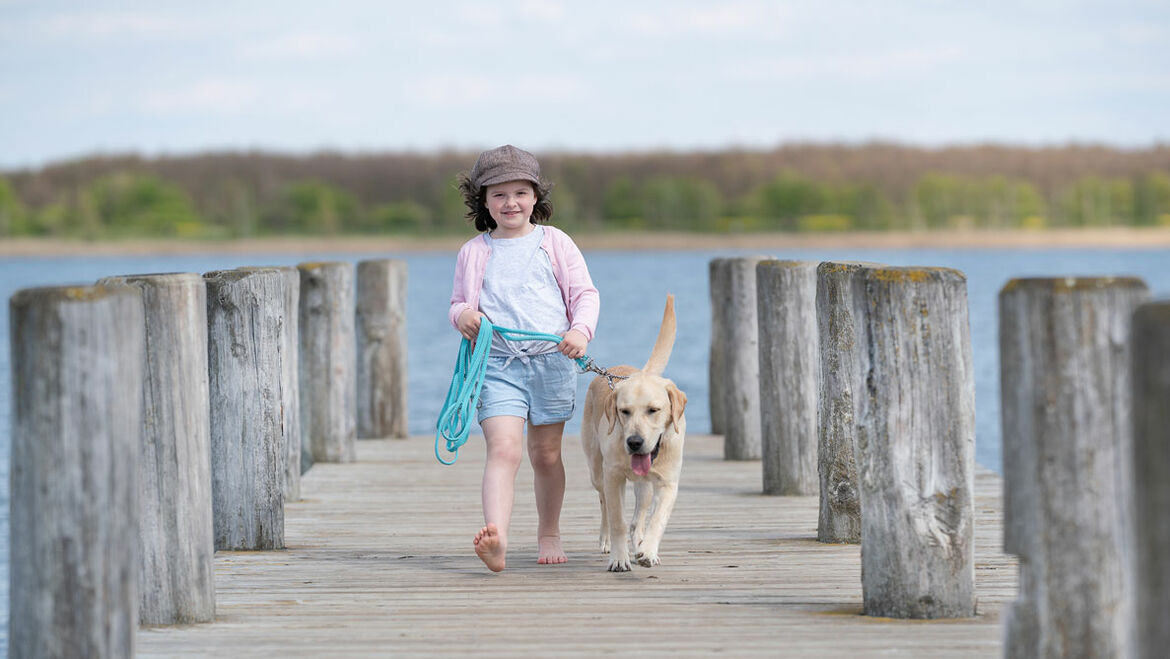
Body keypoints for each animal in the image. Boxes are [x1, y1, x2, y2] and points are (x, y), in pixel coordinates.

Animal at [582, 294, 683, 573]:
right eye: (624, 411)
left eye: (654, 410)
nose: (635, 442)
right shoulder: (613, 476)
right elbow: (618, 519)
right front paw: (618, 558)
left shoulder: (668, 483)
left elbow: (656, 520)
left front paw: (647, 551)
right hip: (597, 471)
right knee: (604, 503)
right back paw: (607, 541)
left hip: (644, 486)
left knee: (639, 517)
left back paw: (638, 544)